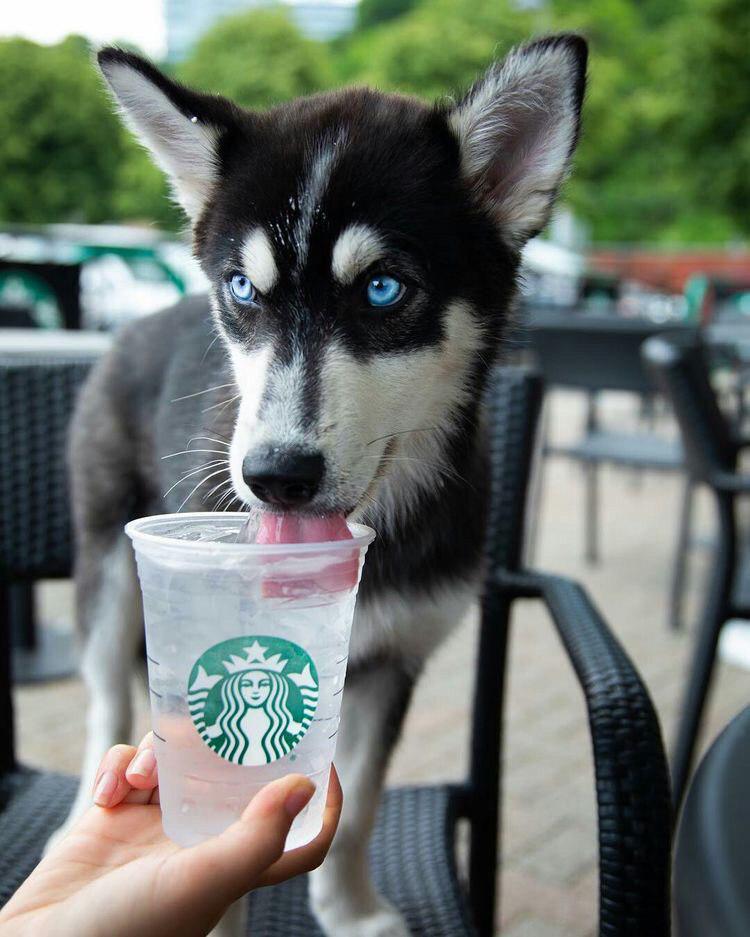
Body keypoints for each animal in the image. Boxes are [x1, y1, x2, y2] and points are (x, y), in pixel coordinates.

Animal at [57, 36, 588, 936]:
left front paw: (349, 909)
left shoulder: (390, 663)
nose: (275, 476)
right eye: (242, 288)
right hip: (108, 567)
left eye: (383, 287)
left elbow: (361, 804)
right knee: (103, 700)